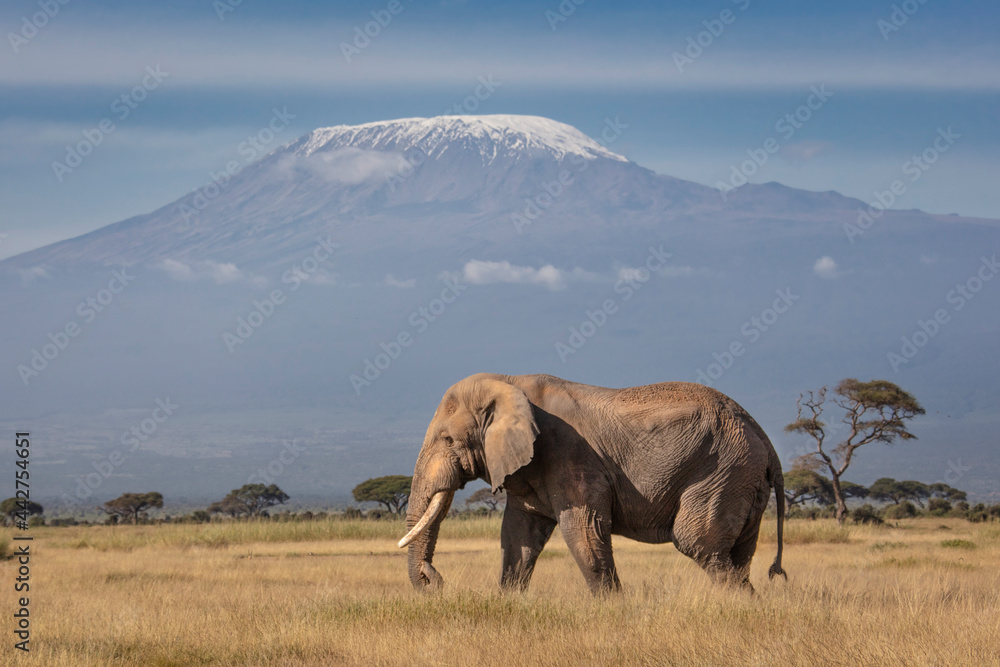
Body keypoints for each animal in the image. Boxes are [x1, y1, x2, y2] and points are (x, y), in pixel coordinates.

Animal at [399, 373, 787, 594]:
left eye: (448, 440)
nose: (433, 579)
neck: (507, 382)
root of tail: (763, 436)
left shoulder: (568, 453)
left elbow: (583, 529)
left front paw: (613, 609)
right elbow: (518, 536)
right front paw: (508, 603)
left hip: (723, 469)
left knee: (697, 541)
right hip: (743, 477)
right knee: (736, 553)